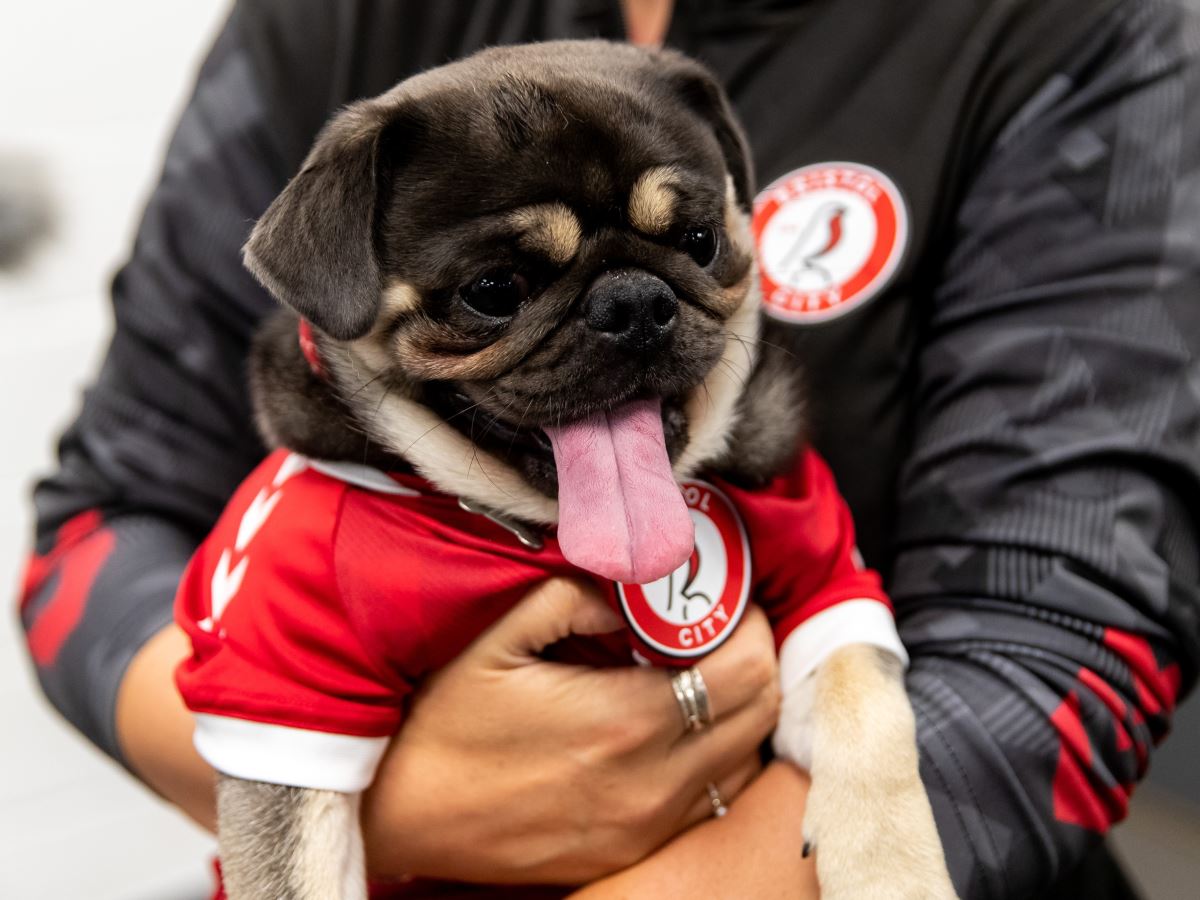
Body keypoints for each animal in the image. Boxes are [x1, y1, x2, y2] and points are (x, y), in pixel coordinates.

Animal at [184, 40, 955, 900]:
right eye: (493, 291)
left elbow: (868, 713)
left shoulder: (827, 588)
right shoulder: (287, 701)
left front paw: (894, 872)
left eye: (698, 242)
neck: (551, 531)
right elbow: (295, 871)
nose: (633, 301)